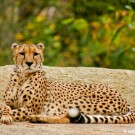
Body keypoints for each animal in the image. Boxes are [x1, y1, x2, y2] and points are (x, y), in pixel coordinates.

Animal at [0, 42, 134, 124]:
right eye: (22, 53)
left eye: (35, 54)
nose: (29, 63)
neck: (23, 76)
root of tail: (122, 97)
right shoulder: (6, 101)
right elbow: (5, 107)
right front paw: (6, 116)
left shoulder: (30, 109)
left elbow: (11, 111)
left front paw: (6, 117)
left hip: (77, 102)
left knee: (68, 118)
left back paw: (38, 118)